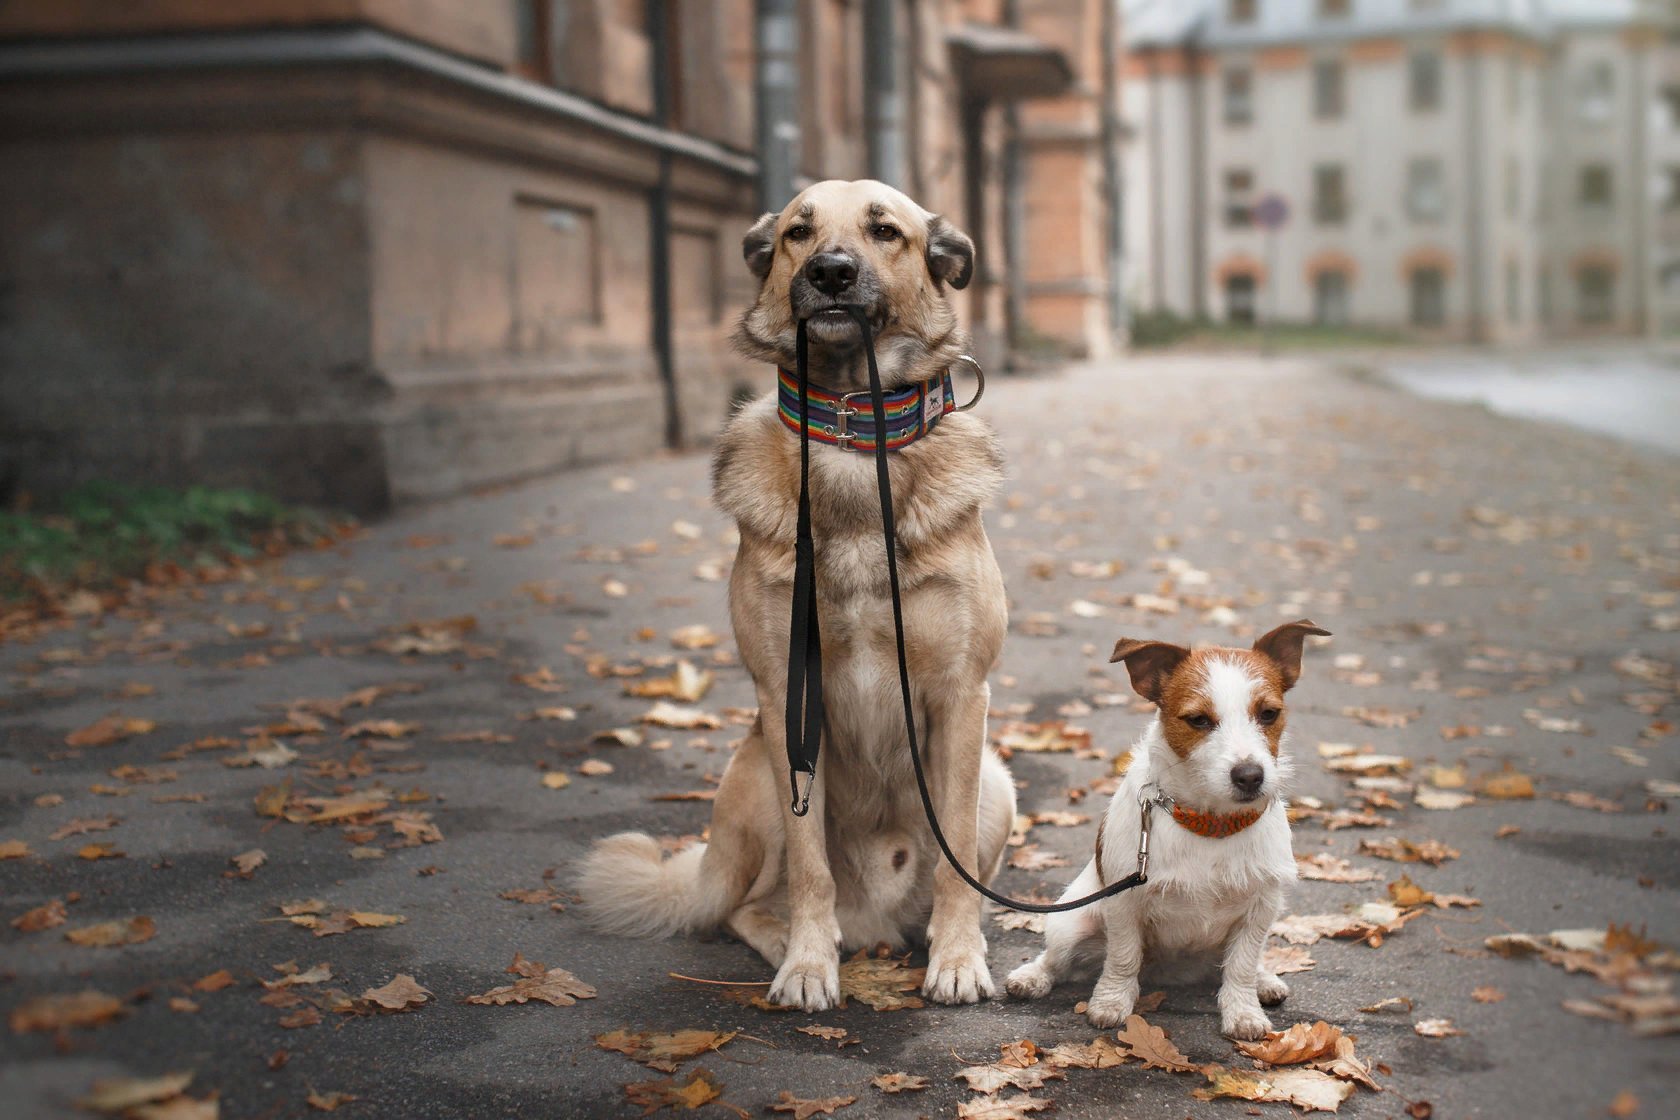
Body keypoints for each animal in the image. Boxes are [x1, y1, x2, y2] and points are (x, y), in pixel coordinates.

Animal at [584, 179, 1014, 1014]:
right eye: (797, 233)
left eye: (885, 231)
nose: (832, 273)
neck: (852, 431)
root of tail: (878, 920)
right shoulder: (789, 698)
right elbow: (810, 866)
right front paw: (811, 964)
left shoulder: (960, 698)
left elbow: (954, 864)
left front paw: (956, 958)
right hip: (755, 767)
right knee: (746, 906)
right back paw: (795, 941)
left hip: (994, 781)